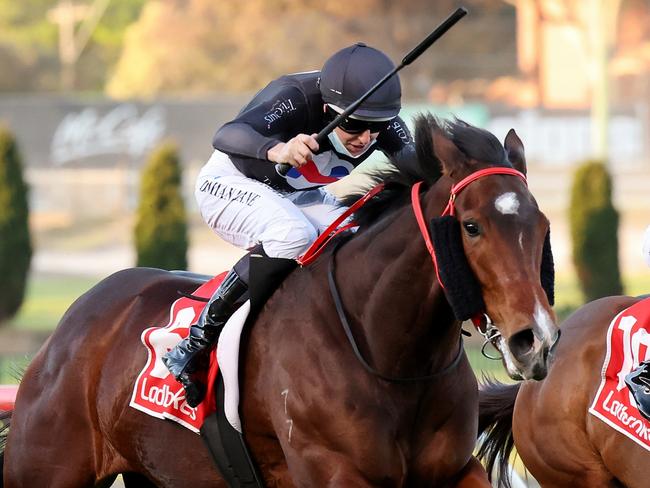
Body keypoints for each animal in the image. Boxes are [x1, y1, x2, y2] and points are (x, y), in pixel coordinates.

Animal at [2, 115, 556, 488]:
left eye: (542, 226)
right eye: (472, 226)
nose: (535, 341)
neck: (388, 353)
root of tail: (70, 325)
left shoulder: (454, 471)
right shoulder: (333, 471)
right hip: (47, 465)